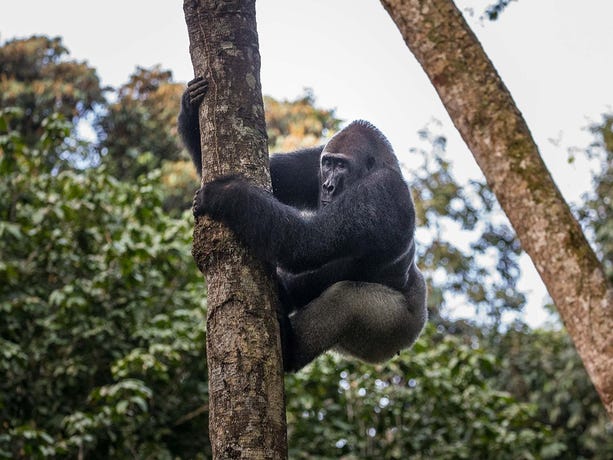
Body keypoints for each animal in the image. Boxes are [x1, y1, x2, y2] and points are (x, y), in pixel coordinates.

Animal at [178, 77, 426, 372]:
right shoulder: (314, 160)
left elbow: (306, 242)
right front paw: (190, 107)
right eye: (328, 164)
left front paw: (228, 194)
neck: (382, 166)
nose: (327, 186)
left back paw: (290, 351)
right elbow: (274, 178)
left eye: (342, 167)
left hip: (393, 329)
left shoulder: (381, 192)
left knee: (346, 300)